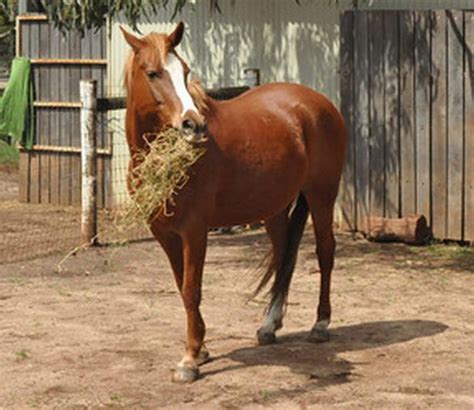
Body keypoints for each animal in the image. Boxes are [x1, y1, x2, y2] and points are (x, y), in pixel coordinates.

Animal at [120, 21, 346, 382]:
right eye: (153, 73)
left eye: (185, 71)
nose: (193, 125)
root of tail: (319, 103)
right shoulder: (164, 233)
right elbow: (180, 285)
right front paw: (201, 349)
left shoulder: (195, 231)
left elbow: (191, 289)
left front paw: (190, 358)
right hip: (275, 209)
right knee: (284, 257)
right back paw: (269, 325)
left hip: (322, 195)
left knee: (325, 252)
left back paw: (320, 324)